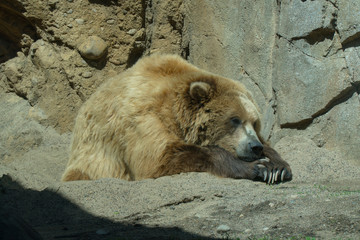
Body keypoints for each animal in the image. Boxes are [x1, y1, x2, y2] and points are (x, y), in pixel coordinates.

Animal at [62, 54, 292, 184]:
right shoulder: (142, 119)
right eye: (234, 119)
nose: (254, 146)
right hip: (90, 165)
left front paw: (277, 167)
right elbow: (159, 159)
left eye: (255, 122)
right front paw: (258, 167)